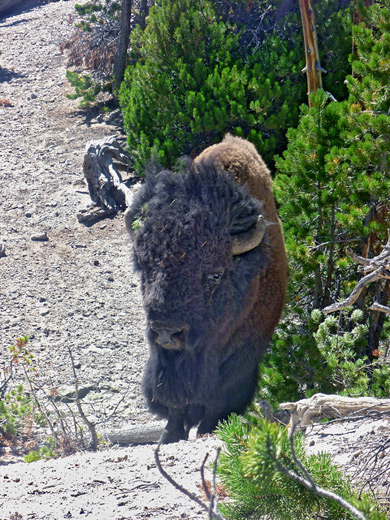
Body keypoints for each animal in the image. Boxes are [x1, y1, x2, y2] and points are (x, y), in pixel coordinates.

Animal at [125, 134, 286, 442]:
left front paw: (207, 430)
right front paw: (170, 435)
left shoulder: (240, 360)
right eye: (144, 266)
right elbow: (174, 399)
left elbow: (216, 399)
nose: (167, 332)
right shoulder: (165, 361)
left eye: (214, 274)